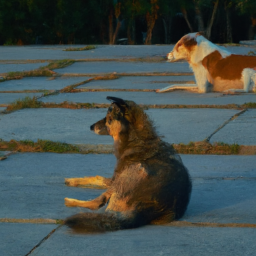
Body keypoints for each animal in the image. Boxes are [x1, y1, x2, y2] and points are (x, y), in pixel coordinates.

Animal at [64, 96, 192, 232]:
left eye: (108, 119)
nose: (91, 126)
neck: (137, 138)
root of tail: (146, 208)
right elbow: (97, 177)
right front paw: (73, 180)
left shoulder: (115, 179)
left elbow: (97, 178)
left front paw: (73, 180)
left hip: (129, 173)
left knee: (97, 203)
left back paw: (70, 201)